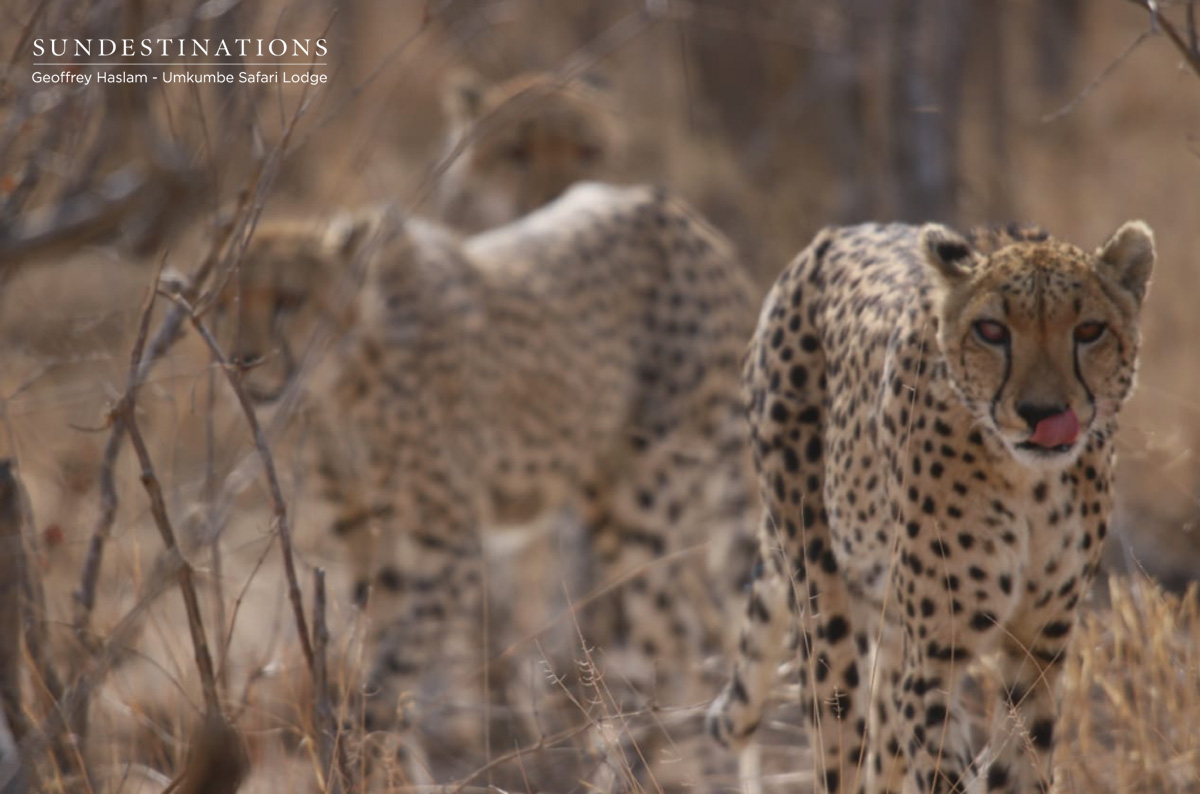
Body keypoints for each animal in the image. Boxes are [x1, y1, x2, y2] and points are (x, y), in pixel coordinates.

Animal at [215, 183, 758, 747]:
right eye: (225, 303)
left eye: (289, 300)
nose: (243, 361)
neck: (345, 374)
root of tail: (685, 219)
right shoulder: (365, 530)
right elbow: (382, 640)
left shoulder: (447, 541)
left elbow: (398, 662)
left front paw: (367, 732)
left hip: (642, 501)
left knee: (678, 639)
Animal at [706, 219, 1155, 793]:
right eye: (991, 331)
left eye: (1089, 330)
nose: (1042, 413)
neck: (1030, 482)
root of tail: (829, 238)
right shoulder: (935, 658)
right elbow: (943, 765)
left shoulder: (1039, 650)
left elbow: (1020, 759)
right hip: (823, 602)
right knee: (842, 737)